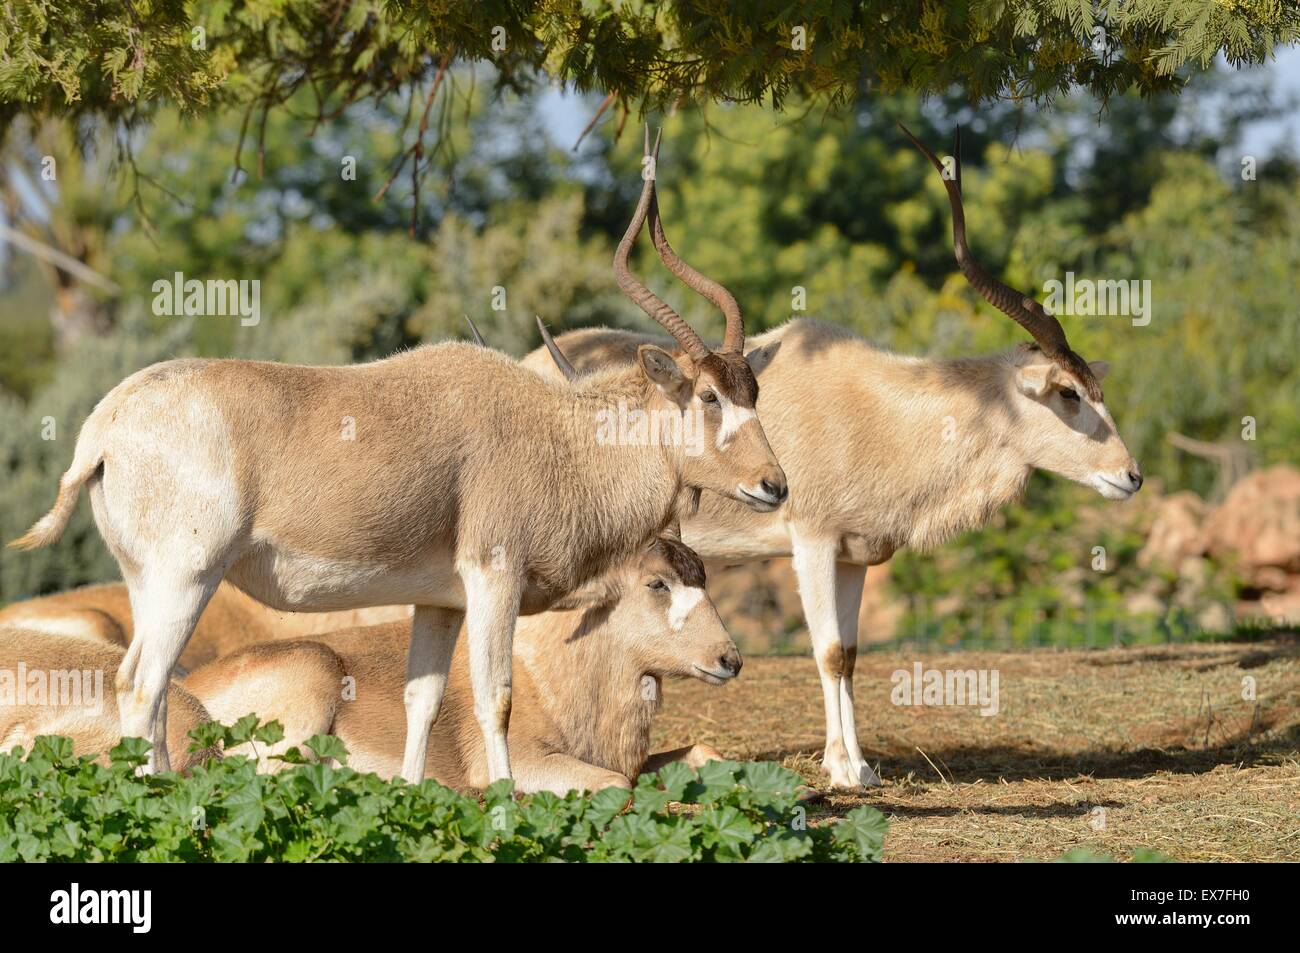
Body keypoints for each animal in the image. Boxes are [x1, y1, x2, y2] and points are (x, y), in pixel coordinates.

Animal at [522, 124, 1144, 790]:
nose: (1131, 475)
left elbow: (848, 653)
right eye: (1068, 393)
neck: (879, 409)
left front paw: (860, 764)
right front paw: (844, 768)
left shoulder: (853, 556)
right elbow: (824, 650)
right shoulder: (813, 543)